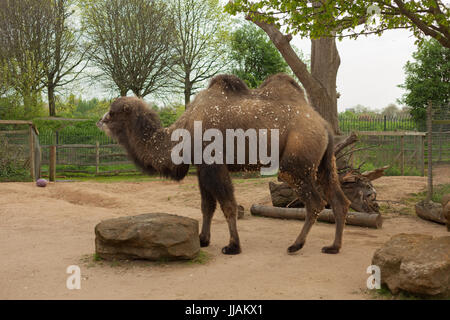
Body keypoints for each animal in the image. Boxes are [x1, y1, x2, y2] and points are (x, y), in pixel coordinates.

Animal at [96, 72, 352, 255]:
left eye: (112, 111)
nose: (100, 121)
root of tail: (323, 125)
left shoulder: (214, 164)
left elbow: (228, 205)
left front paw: (233, 246)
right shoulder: (201, 167)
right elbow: (206, 206)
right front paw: (203, 239)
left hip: (297, 162)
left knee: (315, 201)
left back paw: (296, 245)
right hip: (325, 162)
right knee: (339, 199)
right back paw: (334, 247)